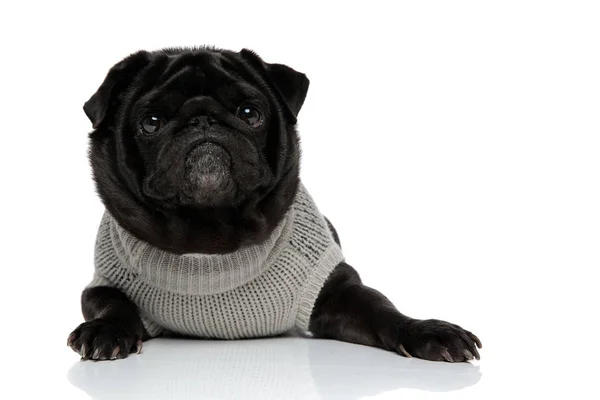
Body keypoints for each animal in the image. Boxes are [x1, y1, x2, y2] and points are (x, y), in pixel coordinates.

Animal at [67, 46, 482, 362]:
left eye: (250, 113)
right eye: (151, 122)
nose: (202, 119)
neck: (210, 239)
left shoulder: (337, 290)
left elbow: (382, 310)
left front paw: (427, 331)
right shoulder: (103, 283)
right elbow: (113, 304)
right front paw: (104, 331)